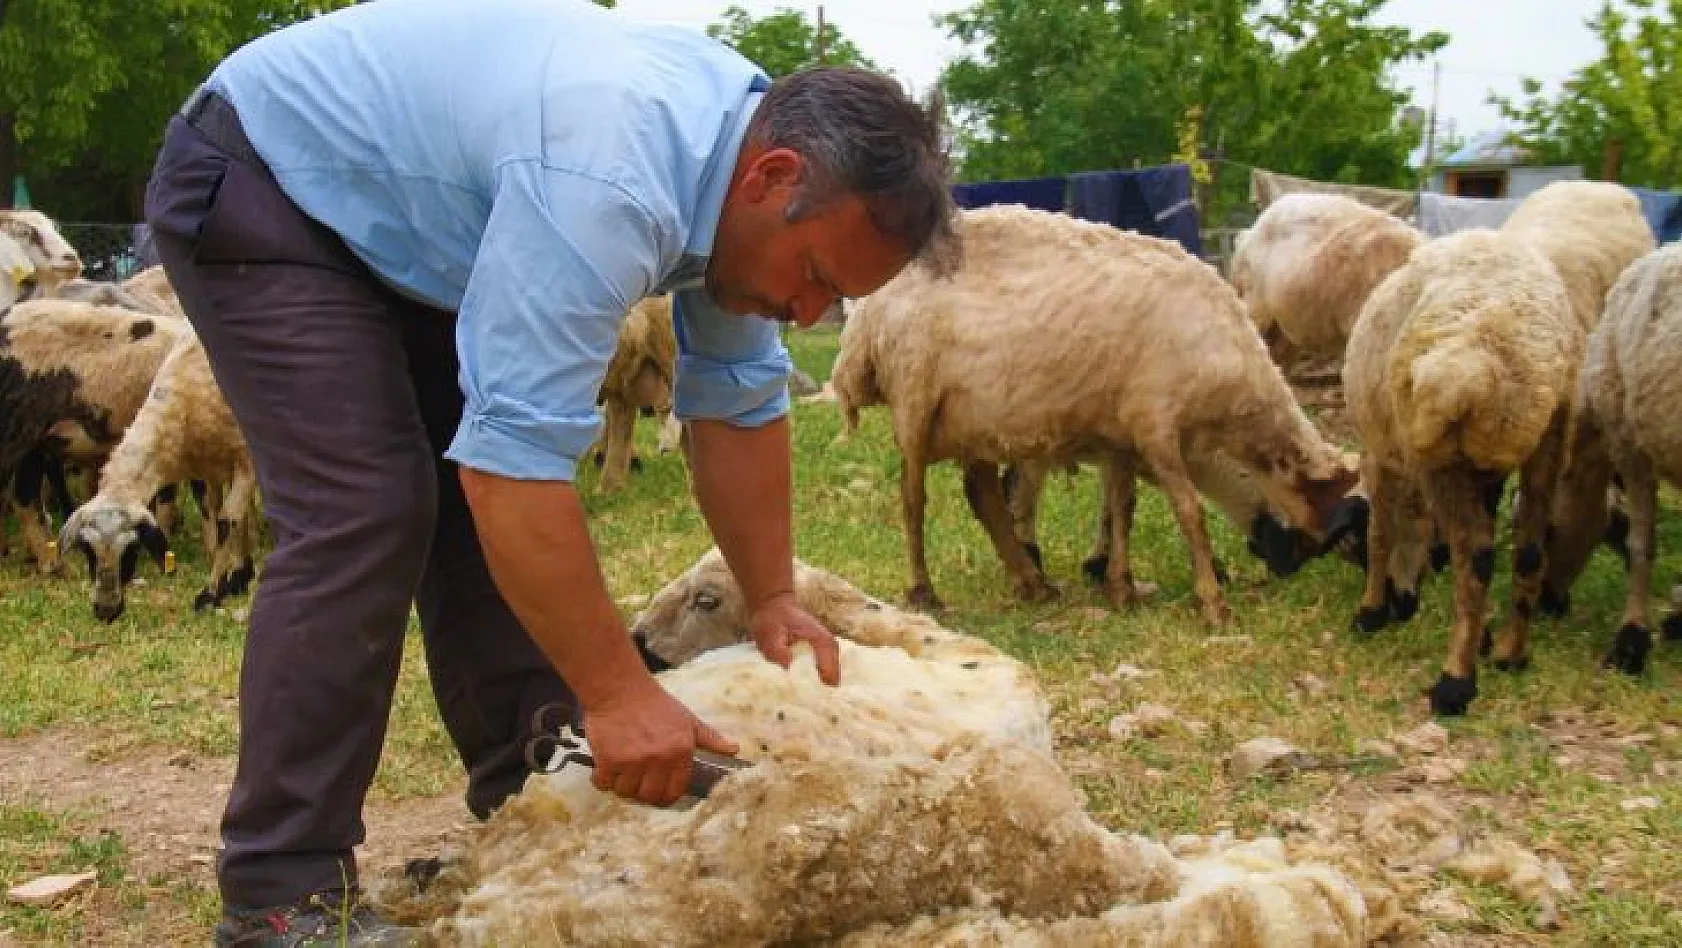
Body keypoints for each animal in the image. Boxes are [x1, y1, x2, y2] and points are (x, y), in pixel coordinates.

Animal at [59, 332, 257, 621]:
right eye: (87, 549)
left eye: (132, 548)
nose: (106, 611)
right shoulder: (212, 468)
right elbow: (224, 514)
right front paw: (240, 577)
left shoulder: (245, 462)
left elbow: (226, 523)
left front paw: (210, 594)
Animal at [834, 205, 1359, 621]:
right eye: (1338, 521)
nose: (1293, 567)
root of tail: (865, 317)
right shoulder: (1155, 424)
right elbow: (1189, 511)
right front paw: (1211, 602)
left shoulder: (1121, 435)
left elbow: (1122, 508)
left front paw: (1121, 588)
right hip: (916, 397)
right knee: (913, 498)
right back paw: (926, 592)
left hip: (973, 417)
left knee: (983, 494)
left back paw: (1035, 583)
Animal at [1332, 230, 1581, 716]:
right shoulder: (1483, 472)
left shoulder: (1381, 455)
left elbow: (1381, 531)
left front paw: (1371, 610)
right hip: (1550, 433)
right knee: (1529, 548)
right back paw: (1510, 653)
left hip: (1439, 457)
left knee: (1477, 554)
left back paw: (1455, 683)